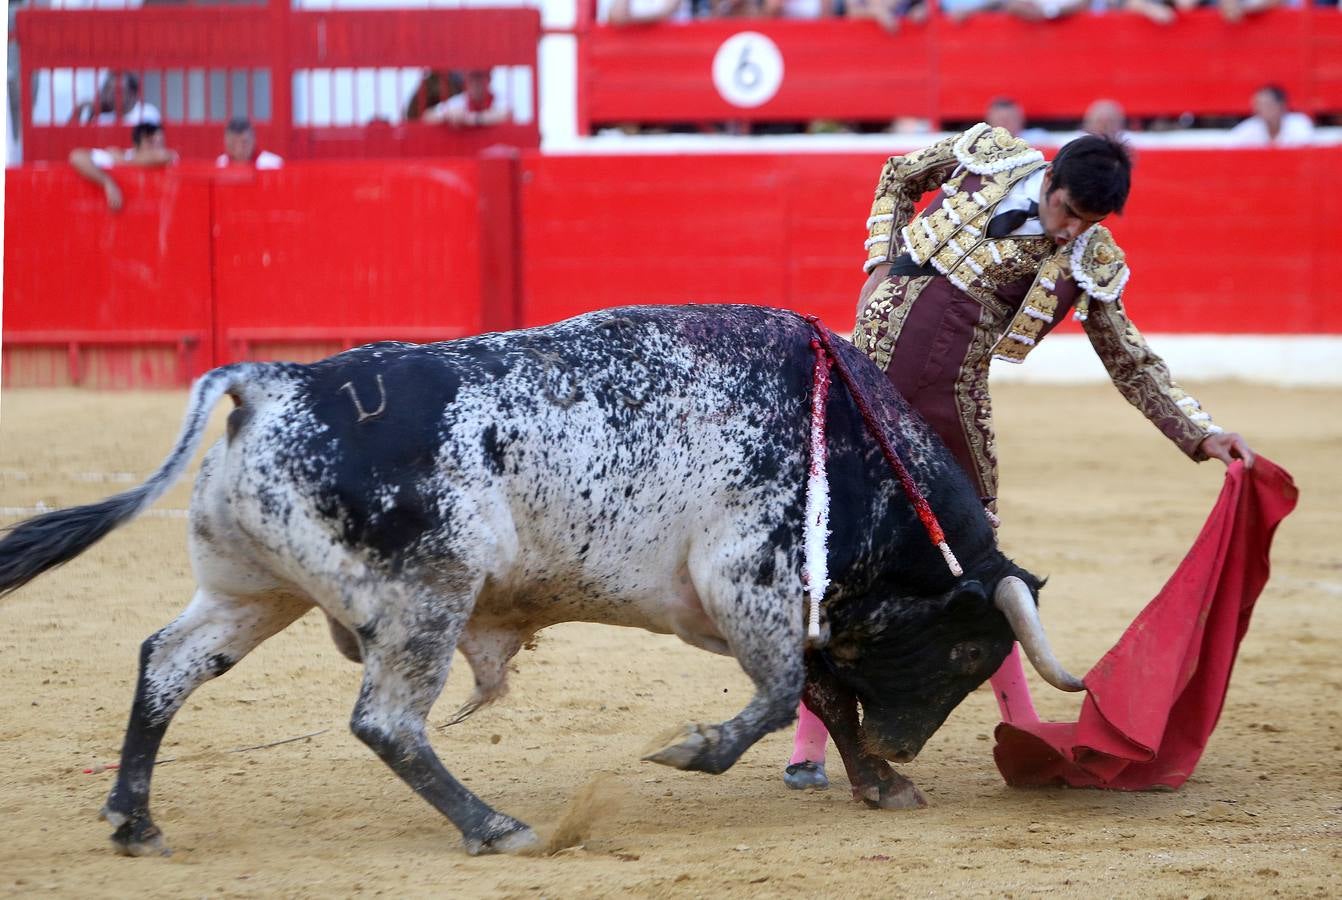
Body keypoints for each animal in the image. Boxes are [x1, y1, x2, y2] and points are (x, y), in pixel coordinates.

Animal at [0, 304, 1078, 858]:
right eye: (964, 648)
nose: (909, 742)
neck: (850, 444)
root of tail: (270, 381)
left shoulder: (769, 603)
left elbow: (818, 693)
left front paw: (879, 781)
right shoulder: (749, 578)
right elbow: (781, 696)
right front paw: (696, 752)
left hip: (251, 589)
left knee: (167, 664)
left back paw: (135, 820)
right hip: (422, 599)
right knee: (385, 721)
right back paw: (496, 827)